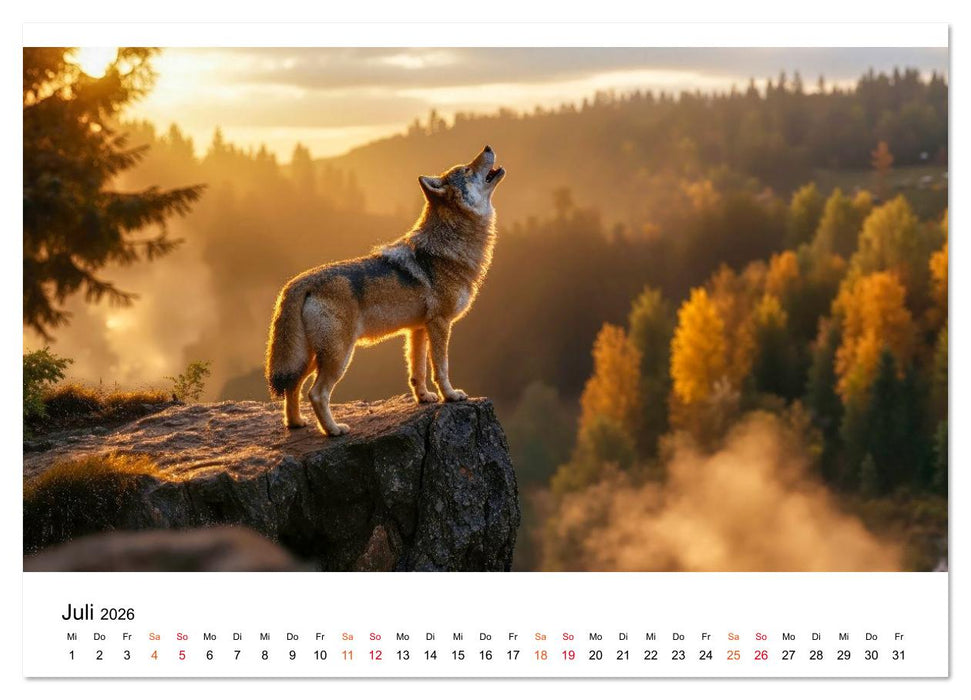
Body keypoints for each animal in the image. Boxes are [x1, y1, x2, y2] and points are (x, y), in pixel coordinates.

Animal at [265, 146, 505, 436]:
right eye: (467, 169)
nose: (488, 147)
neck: (449, 248)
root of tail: (298, 282)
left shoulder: (417, 330)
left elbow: (417, 371)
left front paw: (424, 398)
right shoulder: (440, 324)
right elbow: (441, 368)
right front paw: (450, 396)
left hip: (312, 356)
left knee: (292, 386)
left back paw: (296, 424)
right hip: (339, 356)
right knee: (316, 393)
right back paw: (334, 430)